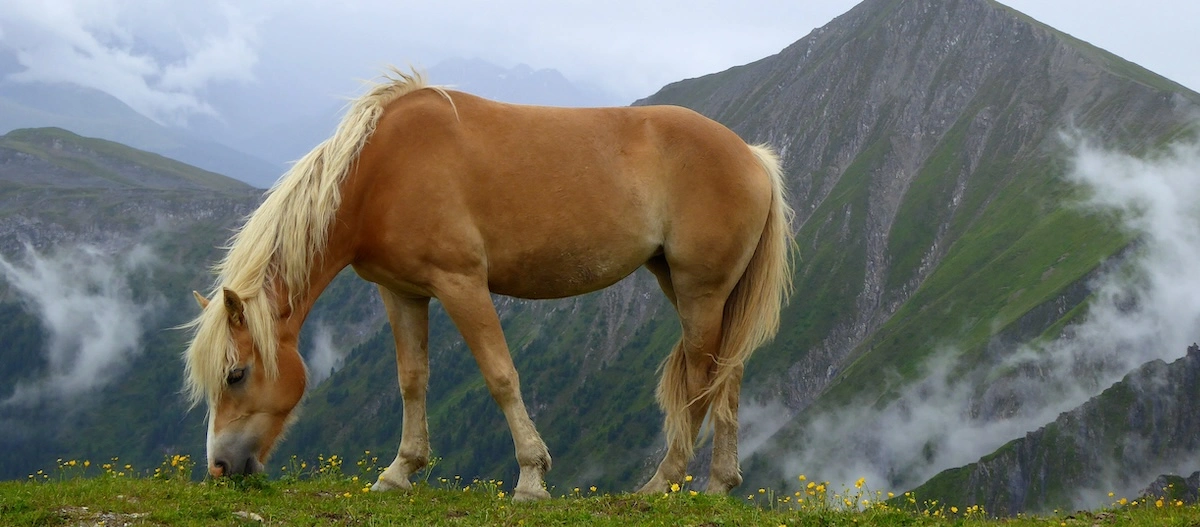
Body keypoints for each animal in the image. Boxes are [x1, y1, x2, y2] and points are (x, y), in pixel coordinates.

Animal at [183, 69, 794, 501]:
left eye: (236, 374)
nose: (220, 467)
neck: (382, 172)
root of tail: (752, 156)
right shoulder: (401, 292)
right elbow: (412, 379)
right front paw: (399, 471)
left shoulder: (461, 284)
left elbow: (500, 376)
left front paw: (531, 478)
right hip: (693, 289)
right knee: (727, 374)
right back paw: (717, 485)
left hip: (700, 290)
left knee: (701, 379)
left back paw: (661, 484)